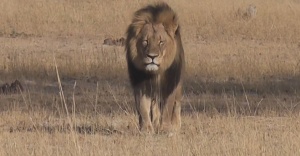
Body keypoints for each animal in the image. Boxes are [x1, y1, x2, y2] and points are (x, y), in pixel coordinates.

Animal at [125, 1, 185, 135]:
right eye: (145, 41)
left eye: (161, 42)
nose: (152, 56)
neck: (156, 73)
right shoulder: (141, 85)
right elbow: (143, 107)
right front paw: (146, 129)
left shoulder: (170, 84)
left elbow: (168, 108)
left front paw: (166, 129)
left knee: (176, 105)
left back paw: (175, 125)